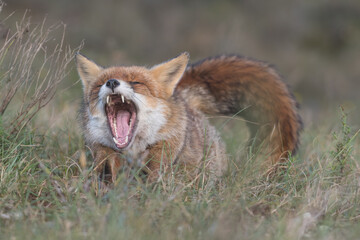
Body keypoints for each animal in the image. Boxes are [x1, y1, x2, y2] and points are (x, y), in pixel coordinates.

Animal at [76, 52, 304, 183]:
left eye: (136, 82)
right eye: (99, 84)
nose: (112, 82)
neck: (132, 150)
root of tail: (183, 97)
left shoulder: (165, 147)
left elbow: (155, 175)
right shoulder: (103, 151)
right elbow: (106, 175)